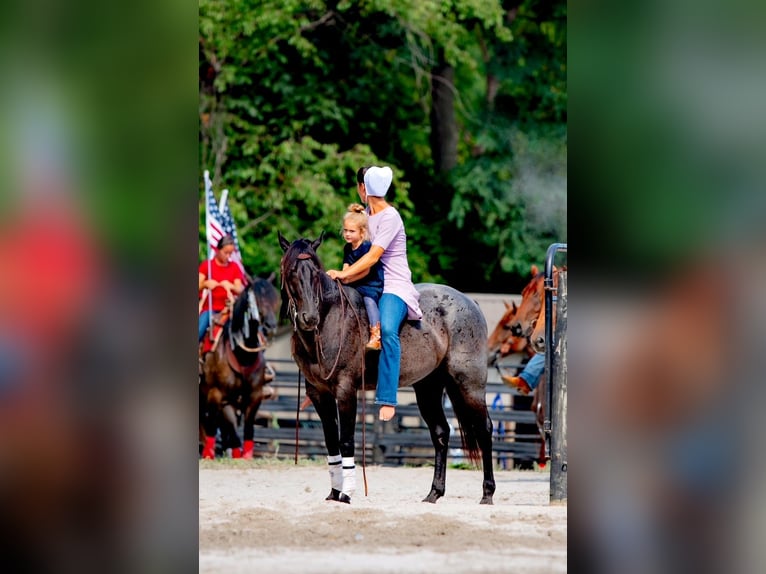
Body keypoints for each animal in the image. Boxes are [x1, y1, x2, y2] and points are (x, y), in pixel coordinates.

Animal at [200, 276, 280, 462]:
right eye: (257, 299)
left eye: (277, 299)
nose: (270, 326)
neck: (241, 355)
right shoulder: (217, 394)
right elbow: (218, 424)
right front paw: (209, 454)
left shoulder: (254, 396)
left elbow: (247, 426)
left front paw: (245, 455)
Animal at [280, 232, 496, 506]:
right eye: (292, 271)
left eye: (316, 272)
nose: (309, 318)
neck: (331, 319)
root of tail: (471, 302)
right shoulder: (319, 394)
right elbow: (331, 442)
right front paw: (333, 493)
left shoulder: (345, 390)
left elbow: (346, 440)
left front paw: (346, 494)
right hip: (428, 388)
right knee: (441, 433)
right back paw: (434, 493)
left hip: (469, 384)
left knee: (484, 429)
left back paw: (487, 493)